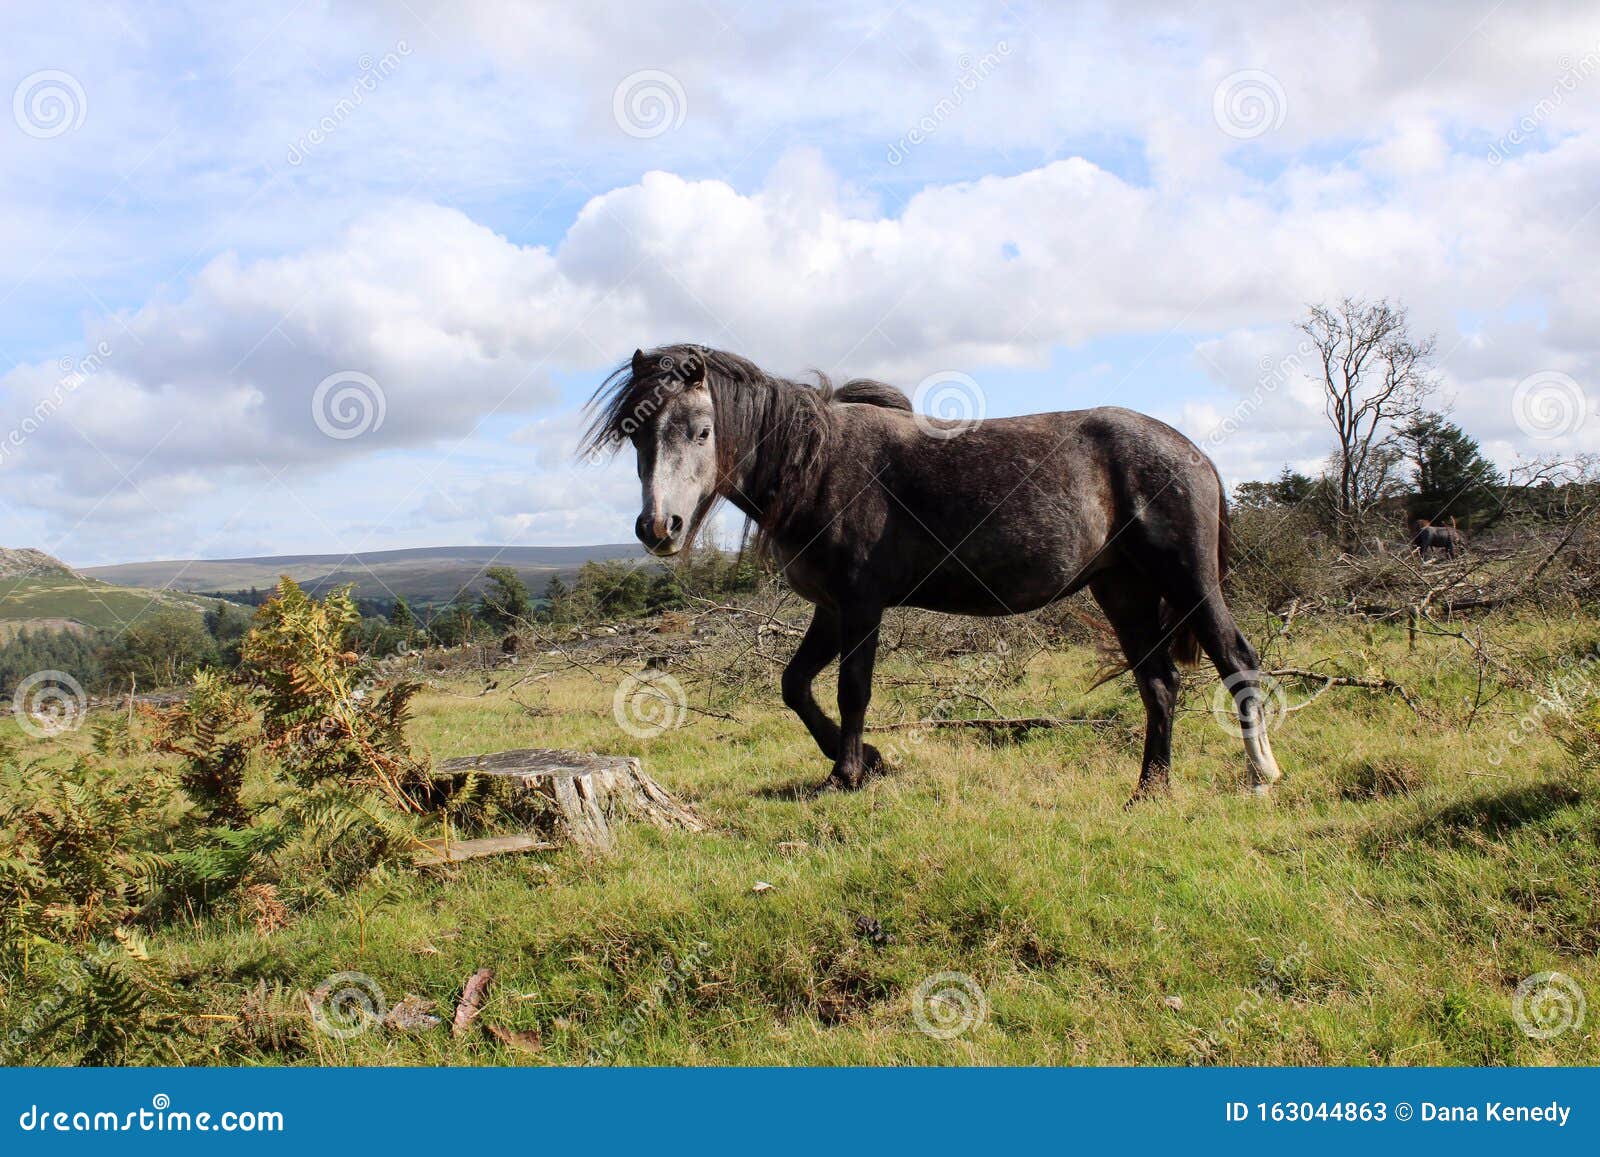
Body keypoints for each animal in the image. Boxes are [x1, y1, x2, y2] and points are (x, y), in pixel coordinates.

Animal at [583, 345, 1285, 801]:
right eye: (637, 435)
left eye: (702, 431)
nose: (659, 527)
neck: (820, 466)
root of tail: (1192, 452)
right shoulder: (830, 609)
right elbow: (794, 686)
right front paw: (867, 758)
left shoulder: (861, 605)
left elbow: (853, 690)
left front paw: (848, 774)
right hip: (1124, 590)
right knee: (1159, 685)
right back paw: (1150, 790)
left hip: (1188, 581)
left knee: (1236, 659)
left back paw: (1261, 775)